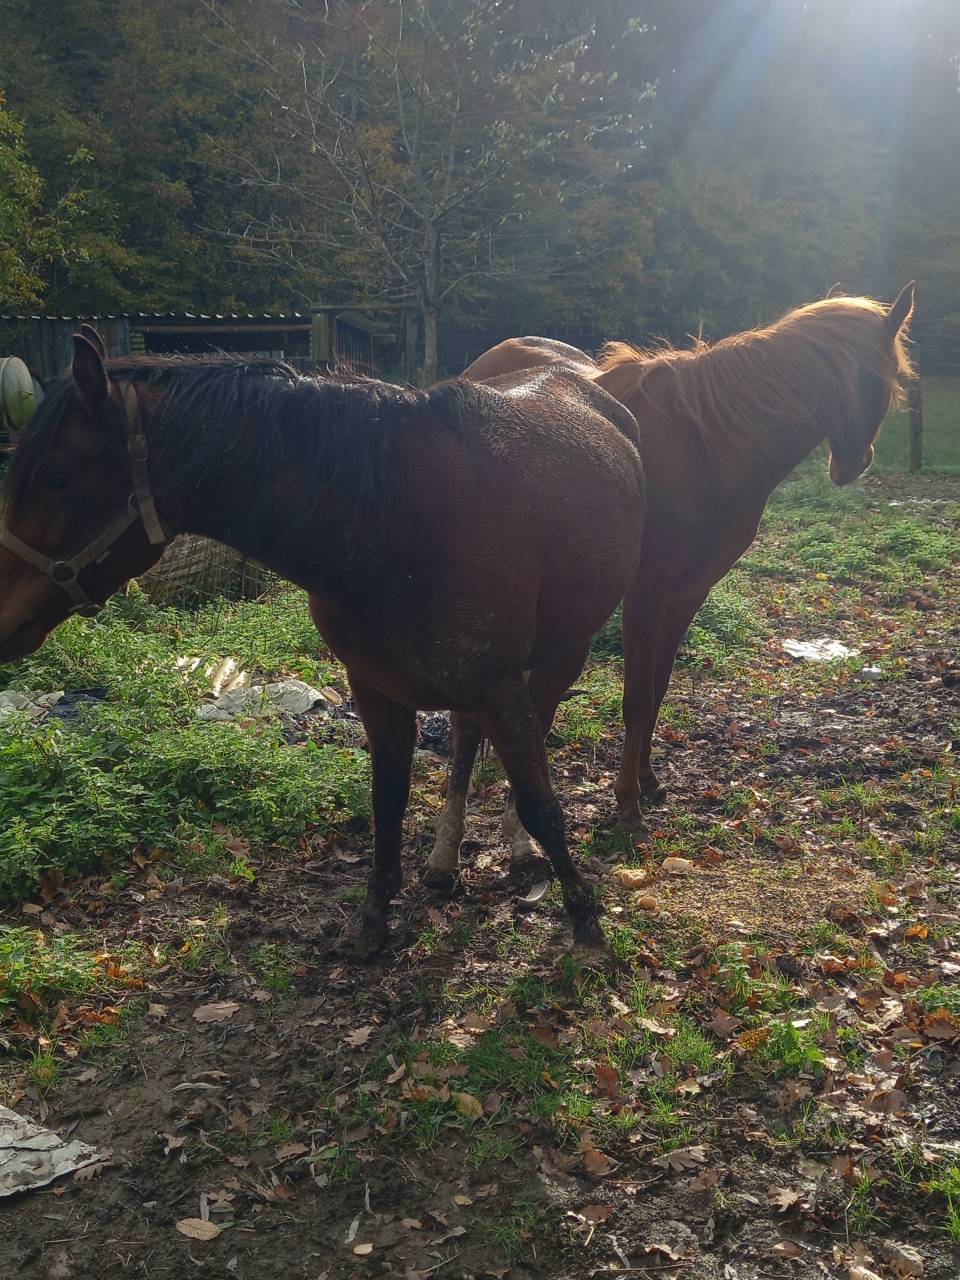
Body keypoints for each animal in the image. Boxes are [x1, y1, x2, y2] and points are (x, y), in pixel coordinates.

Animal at [0, 335, 646, 955]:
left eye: (56, 478)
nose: (4, 620)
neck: (394, 528)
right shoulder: (377, 689)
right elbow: (388, 800)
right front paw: (373, 918)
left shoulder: (497, 684)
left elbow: (541, 802)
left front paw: (586, 924)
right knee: (467, 741)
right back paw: (445, 858)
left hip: (563, 653)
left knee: (532, 728)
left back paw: (516, 848)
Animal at [423, 285, 915, 884]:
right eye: (877, 377)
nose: (851, 465)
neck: (708, 445)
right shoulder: (647, 593)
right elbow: (635, 698)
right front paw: (627, 806)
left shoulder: (688, 594)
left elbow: (657, 690)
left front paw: (650, 782)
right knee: (468, 722)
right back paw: (451, 848)